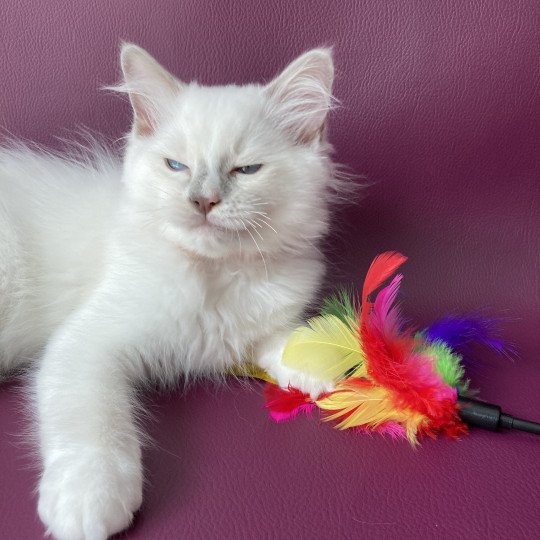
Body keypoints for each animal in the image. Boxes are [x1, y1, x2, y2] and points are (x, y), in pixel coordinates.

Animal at [0, 43, 346, 540]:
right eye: (176, 166)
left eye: (247, 169)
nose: (203, 200)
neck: (212, 275)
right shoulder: (84, 345)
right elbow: (91, 421)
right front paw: (89, 500)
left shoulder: (258, 319)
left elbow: (285, 338)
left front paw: (322, 362)